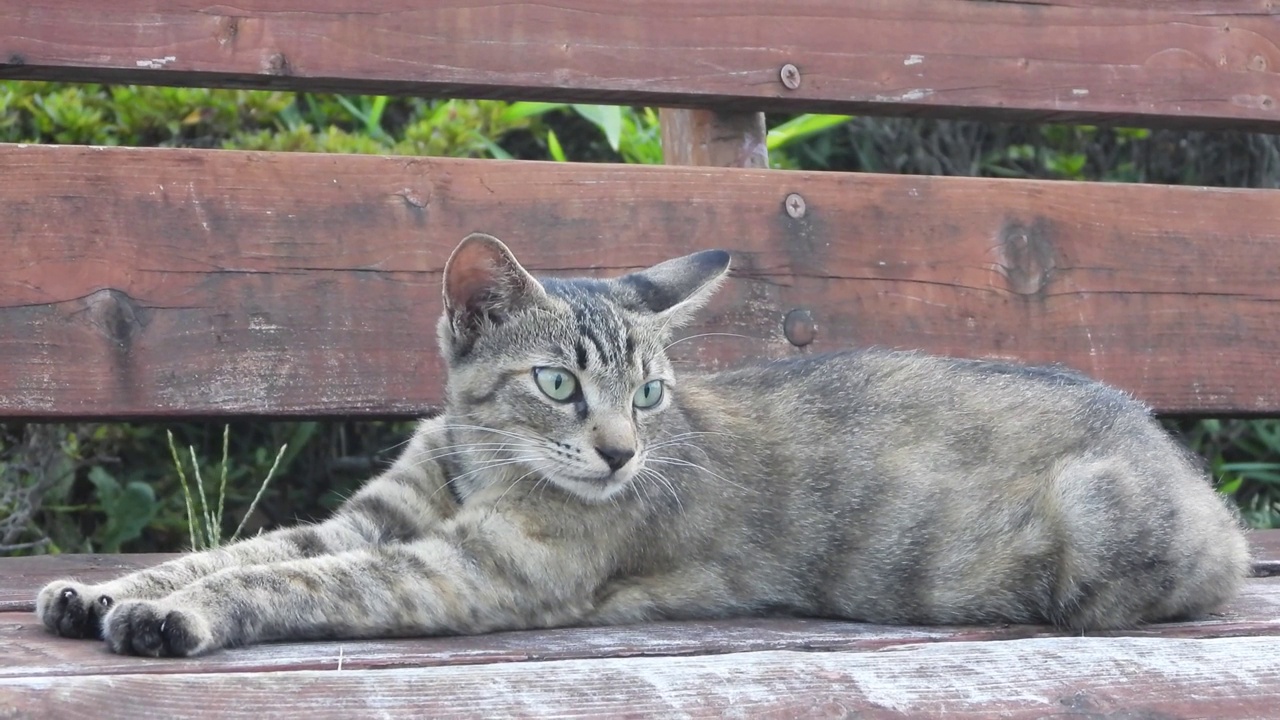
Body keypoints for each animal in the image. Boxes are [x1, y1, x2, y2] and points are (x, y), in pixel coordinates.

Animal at [35, 233, 1244, 653]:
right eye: (559, 383)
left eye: (651, 393)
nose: (619, 456)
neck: (480, 462)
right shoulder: (373, 519)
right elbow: (245, 550)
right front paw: (108, 589)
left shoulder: (469, 570)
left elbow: (292, 581)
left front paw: (173, 615)